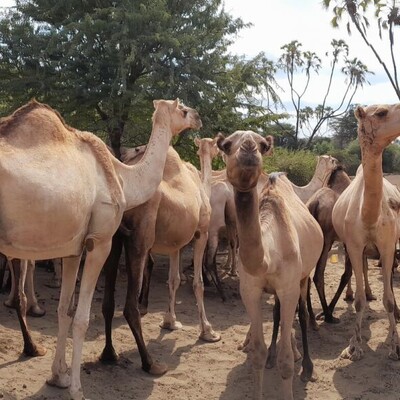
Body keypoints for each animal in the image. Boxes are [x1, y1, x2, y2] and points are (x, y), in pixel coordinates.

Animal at [0, 97, 202, 400]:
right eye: (183, 110)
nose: (198, 117)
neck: (122, 177)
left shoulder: (73, 249)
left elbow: (64, 309)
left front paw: (58, 377)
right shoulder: (100, 242)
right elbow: (82, 318)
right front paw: (77, 389)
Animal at [216, 130, 324, 400]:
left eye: (263, 145)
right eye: (227, 144)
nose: (248, 147)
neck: (268, 257)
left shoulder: (288, 287)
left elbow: (286, 361)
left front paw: (289, 361)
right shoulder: (250, 290)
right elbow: (257, 352)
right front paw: (266, 357)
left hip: (303, 276)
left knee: (302, 312)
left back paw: (307, 366)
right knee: (275, 312)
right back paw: (273, 356)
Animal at [332, 104, 400, 362]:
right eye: (381, 112)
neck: (369, 216)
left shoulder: (388, 246)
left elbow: (389, 299)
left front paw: (394, 346)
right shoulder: (354, 244)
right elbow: (360, 302)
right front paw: (354, 347)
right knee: (356, 271)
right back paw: (355, 294)